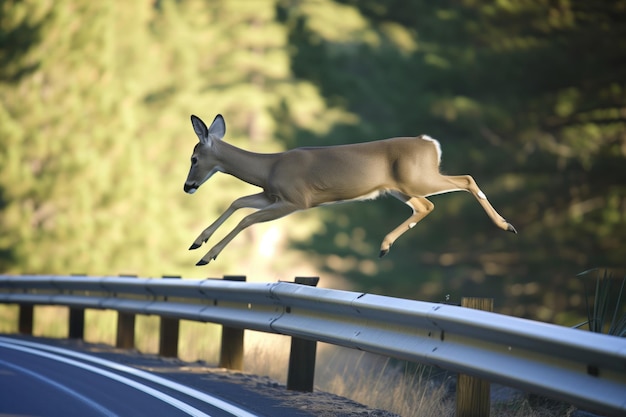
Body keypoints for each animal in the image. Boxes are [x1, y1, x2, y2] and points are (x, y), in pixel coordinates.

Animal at [183, 112, 516, 264]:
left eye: (194, 158)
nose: (187, 186)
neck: (270, 168)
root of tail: (429, 143)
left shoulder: (297, 199)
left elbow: (247, 217)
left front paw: (207, 256)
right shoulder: (271, 195)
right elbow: (238, 202)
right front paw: (197, 242)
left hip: (418, 178)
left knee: (466, 180)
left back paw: (507, 225)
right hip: (401, 187)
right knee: (426, 205)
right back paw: (384, 246)